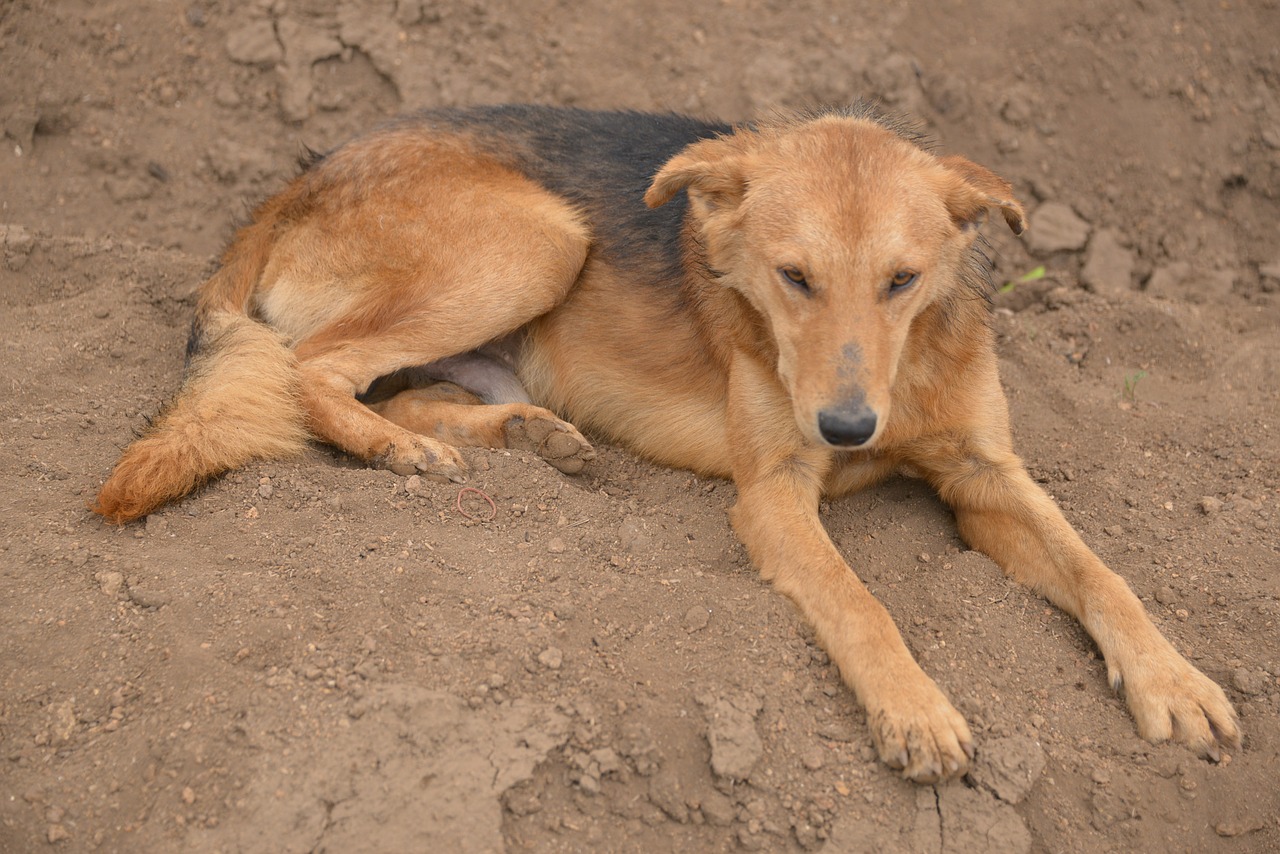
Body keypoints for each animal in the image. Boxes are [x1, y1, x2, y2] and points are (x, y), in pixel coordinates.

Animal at [92, 104, 1239, 783]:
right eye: (792, 277)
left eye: (904, 280)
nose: (846, 427)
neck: (897, 376)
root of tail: (294, 178)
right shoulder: (774, 493)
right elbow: (860, 604)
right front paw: (913, 709)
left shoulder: (984, 475)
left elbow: (1101, 572)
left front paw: (1173, 681)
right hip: (539, 239)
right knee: (309, 366)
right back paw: (394, 455)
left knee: (400, 387)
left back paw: (524, 434)